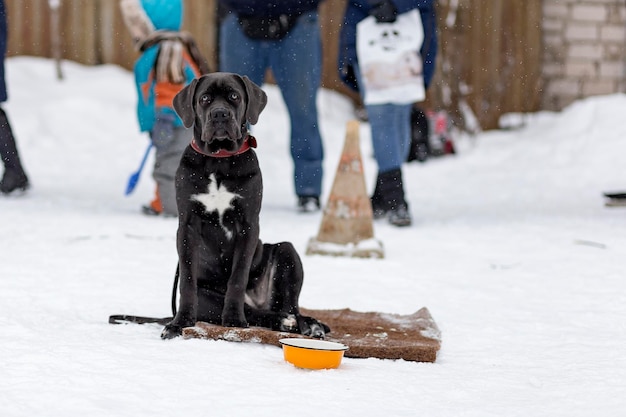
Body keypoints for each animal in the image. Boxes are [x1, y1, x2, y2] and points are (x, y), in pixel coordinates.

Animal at [160, 71, 326, 338]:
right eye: (205, 98)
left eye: (234, 97)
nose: (220, 114)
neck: (218, 160)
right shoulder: (187, 225)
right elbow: (186, 279)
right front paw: (180, 322)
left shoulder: (248, 225)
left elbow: (238, 276)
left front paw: (234, 320)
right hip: (208, 298)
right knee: (258, 313)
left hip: (287, 252)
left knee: (287, 307)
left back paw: (306, 324)